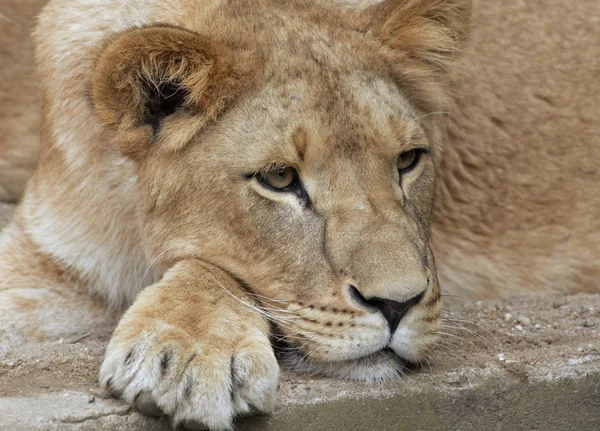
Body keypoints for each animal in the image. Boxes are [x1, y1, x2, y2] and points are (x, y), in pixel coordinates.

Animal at [0, 0, 596, 430]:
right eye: (280, 179)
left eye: (407, 161)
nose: (397, 305)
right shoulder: (44, 257)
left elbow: (209, 266)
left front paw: (185, 349)